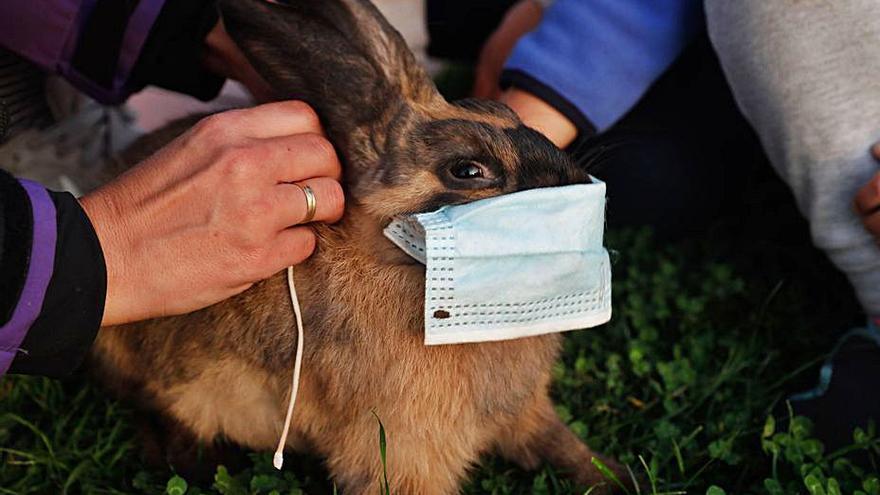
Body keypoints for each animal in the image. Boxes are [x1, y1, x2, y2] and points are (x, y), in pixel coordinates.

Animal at [87, 0, 624, 492]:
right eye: (468, 170)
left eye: (503, 110)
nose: (579, 182)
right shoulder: (399, 451)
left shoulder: (525, 415)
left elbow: (561, 445)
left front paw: (616, 478)